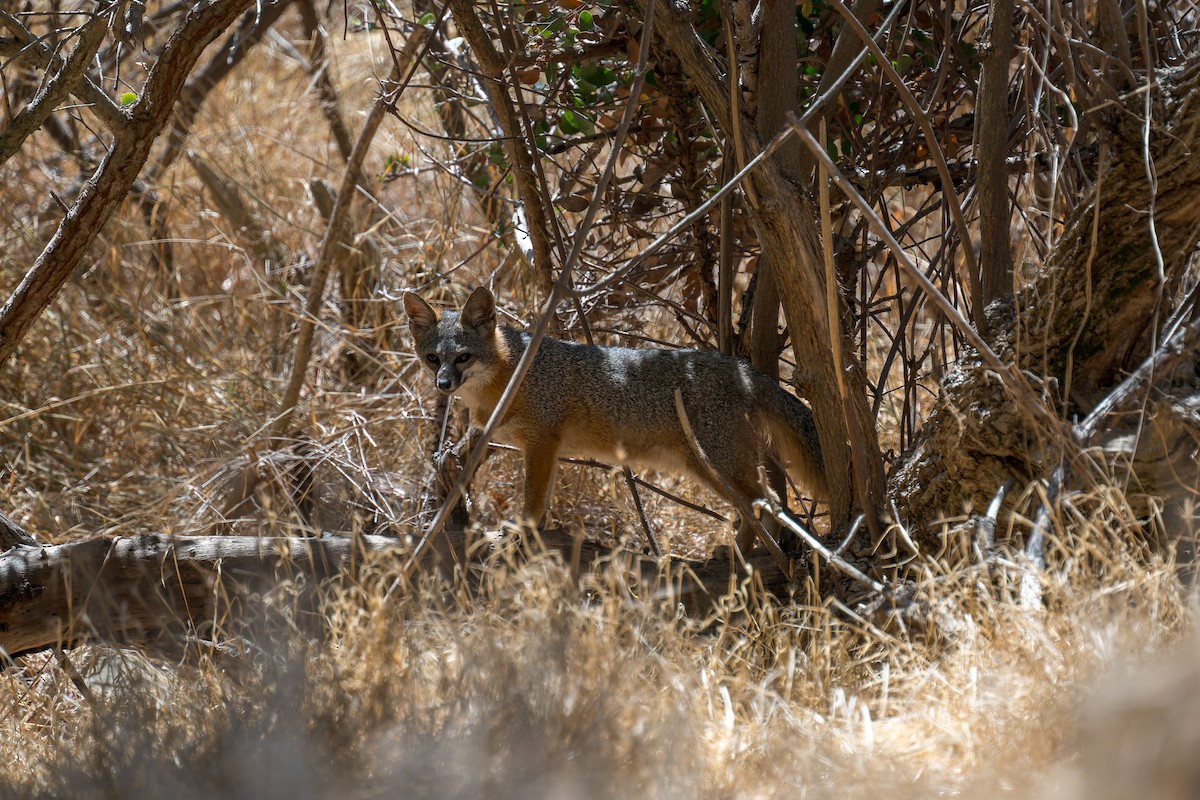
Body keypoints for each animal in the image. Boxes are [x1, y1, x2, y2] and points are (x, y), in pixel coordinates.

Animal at [403, 286, 827, 553]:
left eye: (463, 358)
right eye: (433, 359)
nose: (443, 385)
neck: (511, 374)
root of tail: (741, 368)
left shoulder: (542, 442)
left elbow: (535, 498)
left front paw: (525, 529)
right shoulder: (545, 448)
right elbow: (545, 495)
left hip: (716, 466)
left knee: (766, 504)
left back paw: (743, 554)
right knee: (770, 504)